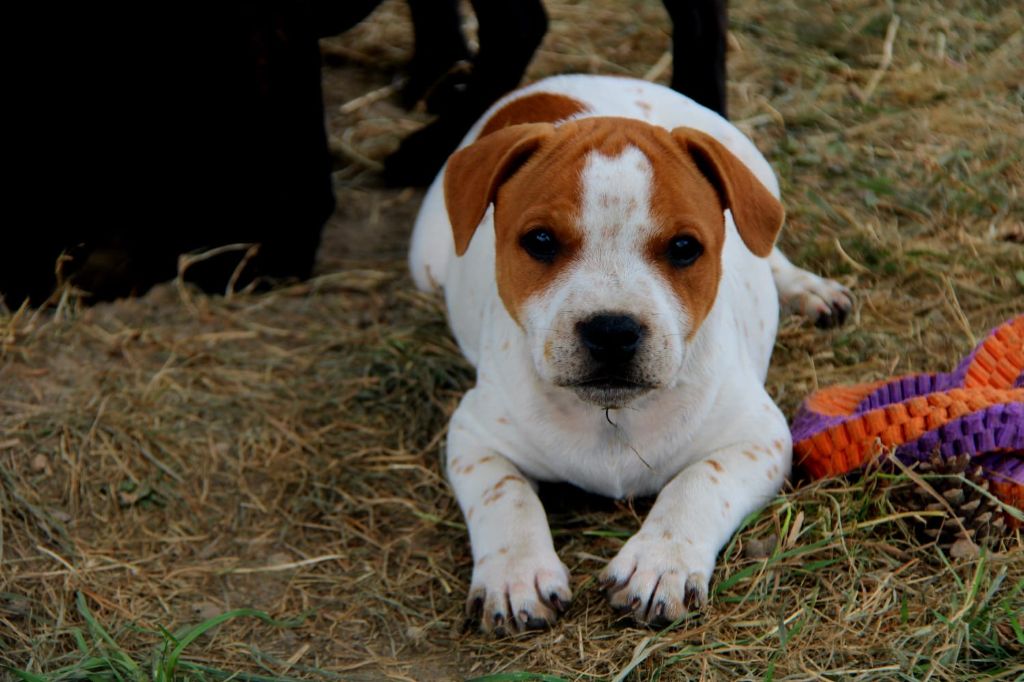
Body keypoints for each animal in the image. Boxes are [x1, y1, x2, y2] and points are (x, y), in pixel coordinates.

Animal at [407, 74, 847, 630]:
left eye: (684, 248)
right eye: (540, 241)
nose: (612, 330)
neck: (613, 415)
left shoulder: (758, 438)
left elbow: (696, 484)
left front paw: (660, 562)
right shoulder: (474, 437)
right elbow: (506, 496)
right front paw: (516, 573)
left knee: (766, 243)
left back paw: (807, 289)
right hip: (424, 264)